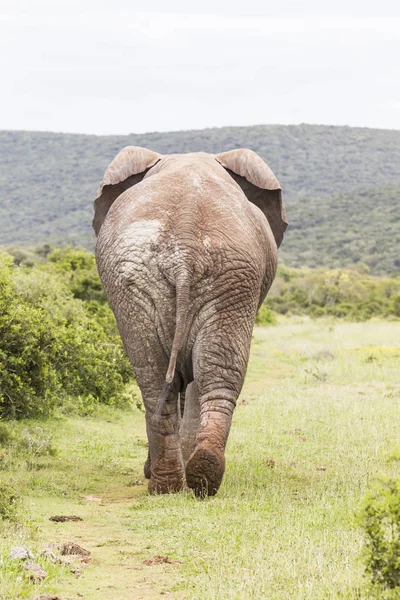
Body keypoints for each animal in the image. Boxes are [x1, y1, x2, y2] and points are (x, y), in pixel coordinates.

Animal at [94, 145, 288, 496]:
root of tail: (184, 252)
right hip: (175, 280)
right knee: (194, 375)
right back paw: (189, 479)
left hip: (225, 278)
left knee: (176, 376)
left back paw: (177, 481)